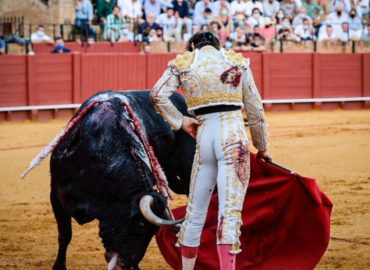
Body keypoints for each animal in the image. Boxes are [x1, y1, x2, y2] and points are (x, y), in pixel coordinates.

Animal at [22, 90, 197, 270]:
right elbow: (65, 235)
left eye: (153, 231)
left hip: (187, 167)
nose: (128, 263)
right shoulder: (56, 196)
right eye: (141, 226)